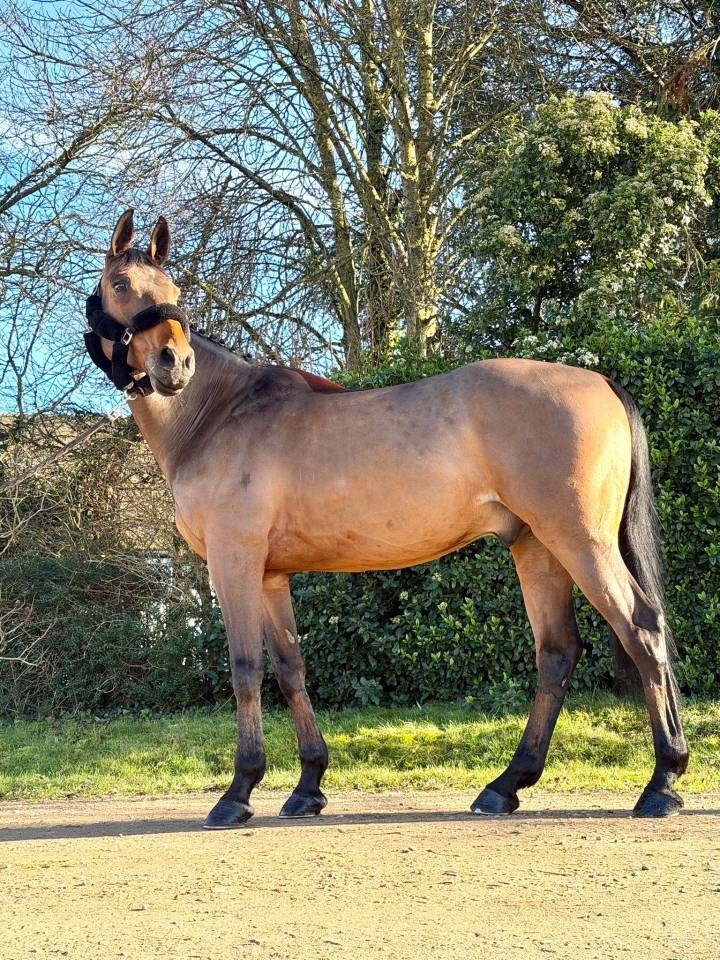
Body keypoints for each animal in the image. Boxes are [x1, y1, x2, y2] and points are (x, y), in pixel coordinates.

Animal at [86, 209, 688, 828]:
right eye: (122, 285)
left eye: (174, 291)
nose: (175, 364)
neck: (217, 414)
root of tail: (600, 381)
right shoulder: (271, 575)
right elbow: (291, 669)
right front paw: (308, 786)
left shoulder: (235, 563)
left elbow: (246, 668)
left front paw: (239, 790)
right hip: (537, 546)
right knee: (557, 653)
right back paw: (506, 785)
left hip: (580, 541)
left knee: (641, 627)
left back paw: (662, 781)